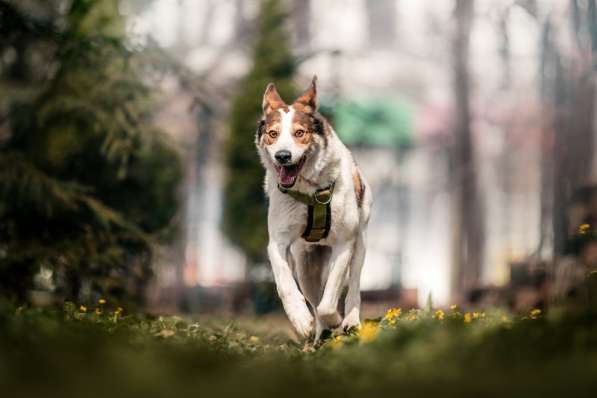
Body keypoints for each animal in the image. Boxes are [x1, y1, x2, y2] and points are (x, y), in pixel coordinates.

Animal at [254, 76, 370, 340]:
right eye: (273, 134)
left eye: (300, 133)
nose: (283, 156)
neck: (308, 190)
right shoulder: (278, 242)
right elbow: (285, 283)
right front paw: (300, 320)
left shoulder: (344, 242)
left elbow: (331, 296)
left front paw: (335, 318)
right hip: (305, 263)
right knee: (313, 296)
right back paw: (319, 333)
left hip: (360, 241)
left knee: (353, 284)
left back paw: (349, 321)